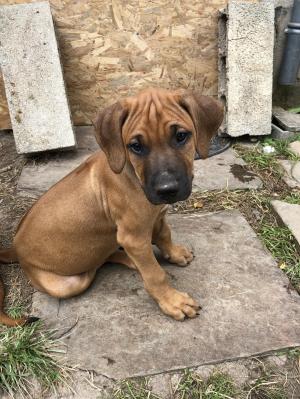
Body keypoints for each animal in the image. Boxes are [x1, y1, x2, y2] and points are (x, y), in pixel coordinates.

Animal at [0, 89, 223, 326]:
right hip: (67, 284)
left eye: (181, 136)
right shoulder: (133, 238)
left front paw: (174, 253)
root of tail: (14, 248)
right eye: (136, 146)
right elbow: (155, 274)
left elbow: (165, 235)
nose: (167, 189)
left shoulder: (158, 217)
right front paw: (172, 301)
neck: (132, 174)